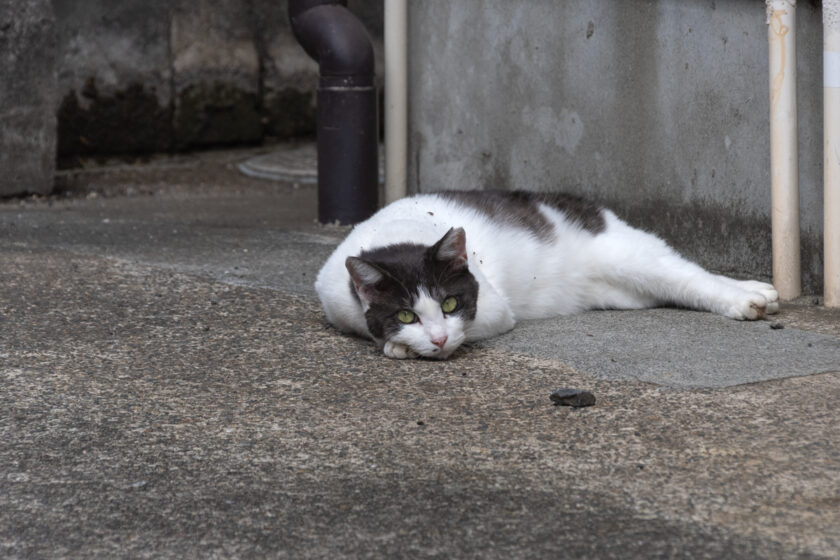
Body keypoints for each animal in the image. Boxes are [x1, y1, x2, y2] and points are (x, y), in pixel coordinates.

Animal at [316, 190, 780, 360]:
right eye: (406, 314)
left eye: (450, 302)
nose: (439, 339)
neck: (396, 234)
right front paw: (400, 342)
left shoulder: (493, 309)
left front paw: (402, 347)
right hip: (626, 291)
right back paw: (758, 290)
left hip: (628, 256)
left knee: (691, 276)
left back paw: (745, 300)